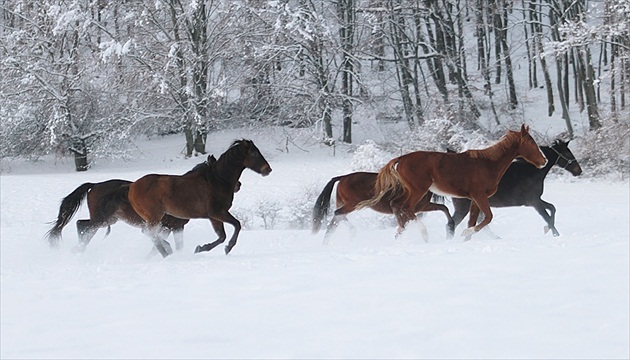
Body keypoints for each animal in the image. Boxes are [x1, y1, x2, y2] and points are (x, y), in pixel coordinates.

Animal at [121, 139, 272, 258]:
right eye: (254, 153)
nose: (268, 170)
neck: (217, 181)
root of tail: (132, 186)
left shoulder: (213, 217)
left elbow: (221, 236)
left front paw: (200, 248)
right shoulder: (218, 212)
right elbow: (237, 225)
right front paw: (228, 247)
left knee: (152, 235)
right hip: (154, 218)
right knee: (153, 236)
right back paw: (167, 255)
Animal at [312, 172, 454, 242]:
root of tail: (342, 177)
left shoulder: (422, 206)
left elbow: (444, 208)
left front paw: (451, 229)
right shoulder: (407, 209)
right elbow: (405, 225)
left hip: (345, 204)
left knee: (334, 222)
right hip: (351, 204)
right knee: (337, 214)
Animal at [362, 125, 552, 240]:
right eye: (531, 142)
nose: (544, 160)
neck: (489, 164)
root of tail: (401, 159)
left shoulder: (474, 199)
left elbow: (473, 221)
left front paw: (464, 238)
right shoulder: (479, 195)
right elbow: (488, 217)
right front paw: (465, 234)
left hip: (410, 190)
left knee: (396, 205)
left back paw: (401, 232)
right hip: (418, 190)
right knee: (406, 208)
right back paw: (422, 233)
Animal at [454, 139, 584, 238]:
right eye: (568, 154)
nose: (579, 171)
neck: (531, 172)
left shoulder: (534, 201)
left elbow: (552, 208)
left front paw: (547, 229)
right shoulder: (534, 202)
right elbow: (547, 217)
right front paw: (555, 234)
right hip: (463, 207)